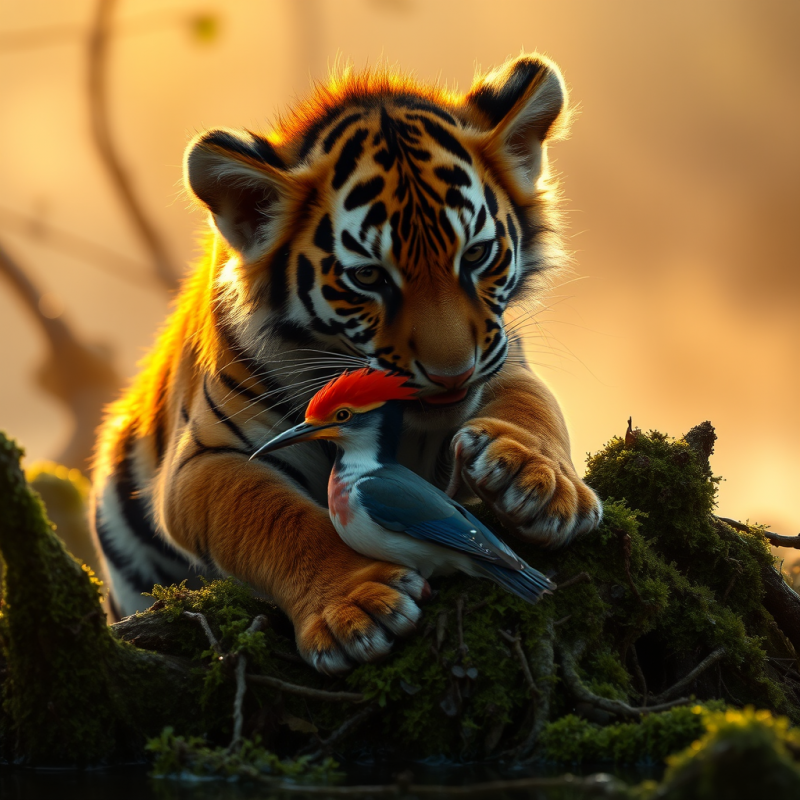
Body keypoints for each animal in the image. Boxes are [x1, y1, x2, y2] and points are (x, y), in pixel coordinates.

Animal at [91, 53, 602, 674]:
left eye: (477, 255)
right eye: (368, 277)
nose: (451, 374)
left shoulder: (501, 356)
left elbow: (532, 402)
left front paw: (536, 479)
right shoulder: (205, 459)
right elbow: (273, 516)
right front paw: (355, 604)